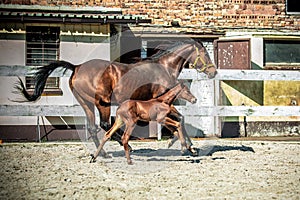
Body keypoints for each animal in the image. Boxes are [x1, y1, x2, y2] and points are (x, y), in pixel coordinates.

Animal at [16, 40, 217, 148]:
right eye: (205, 54)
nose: (213, 72)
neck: (164, 68)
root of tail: (77, 67)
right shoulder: (162, 101)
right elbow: (178, 119)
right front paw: (186, 145)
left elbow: (180, 118)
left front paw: (189, 145)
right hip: (102, 103)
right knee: (105, 125)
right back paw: (124, 145)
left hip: (87, 104)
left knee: (93, 127)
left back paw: (105, 154)